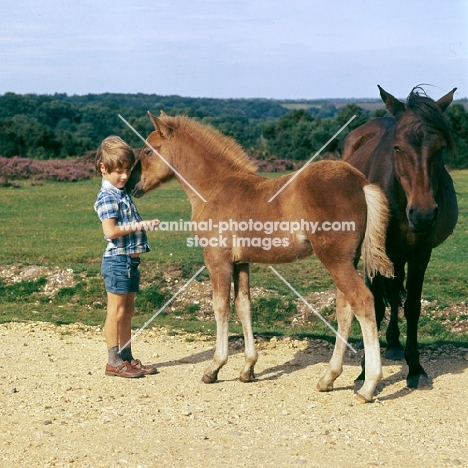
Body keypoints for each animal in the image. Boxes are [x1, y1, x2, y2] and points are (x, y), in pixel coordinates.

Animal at [126, 112, 394, 402]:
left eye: (148, 150)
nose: (130, 186)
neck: (216, 188)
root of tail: (361, 183)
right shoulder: (241, 262)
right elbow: (244, 305)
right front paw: (248, 369)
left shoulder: (217, 260)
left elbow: (221, 306)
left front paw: (214, 368)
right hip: (347, 260)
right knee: (345, 309)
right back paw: (328, 378)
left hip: (336, 260)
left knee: (362, 302)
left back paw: (368, 386)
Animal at [340, 86, 458, 390]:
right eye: (397, 147)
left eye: (440, 148)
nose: (423, 214)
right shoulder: (374, 254)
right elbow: (374, 305)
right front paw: (364, 370)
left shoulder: (420, 254)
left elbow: (412, 306)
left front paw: (415, 367)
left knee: (395, 294)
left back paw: (393, 343)